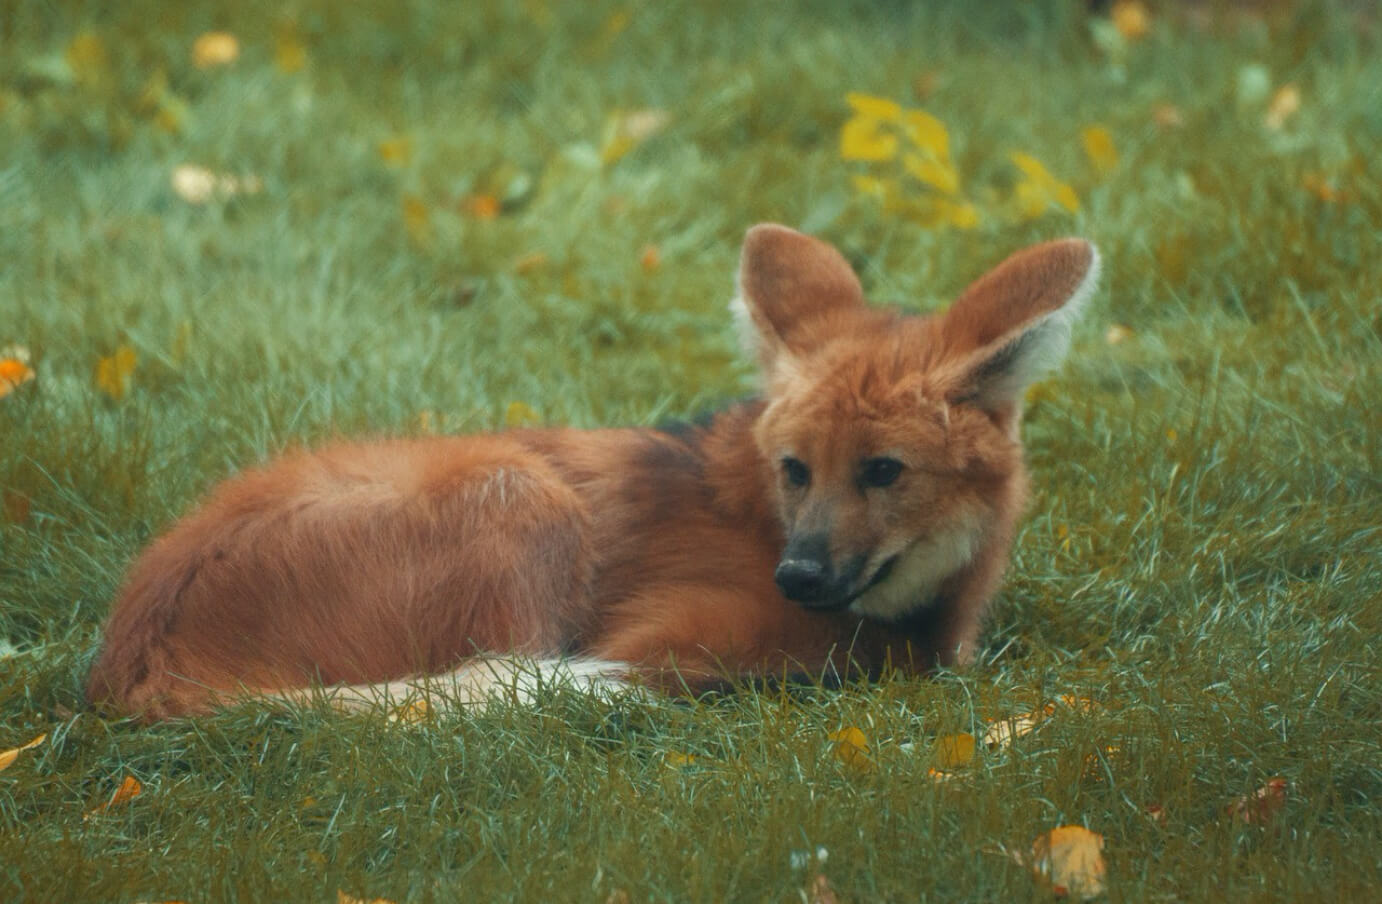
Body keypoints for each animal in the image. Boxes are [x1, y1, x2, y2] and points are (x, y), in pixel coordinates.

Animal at [89, 226, 1100, 724]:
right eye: (797, 471)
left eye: (883, 471)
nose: (799, 574)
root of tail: (129, 652)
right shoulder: (657, 639)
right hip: (521, 497)